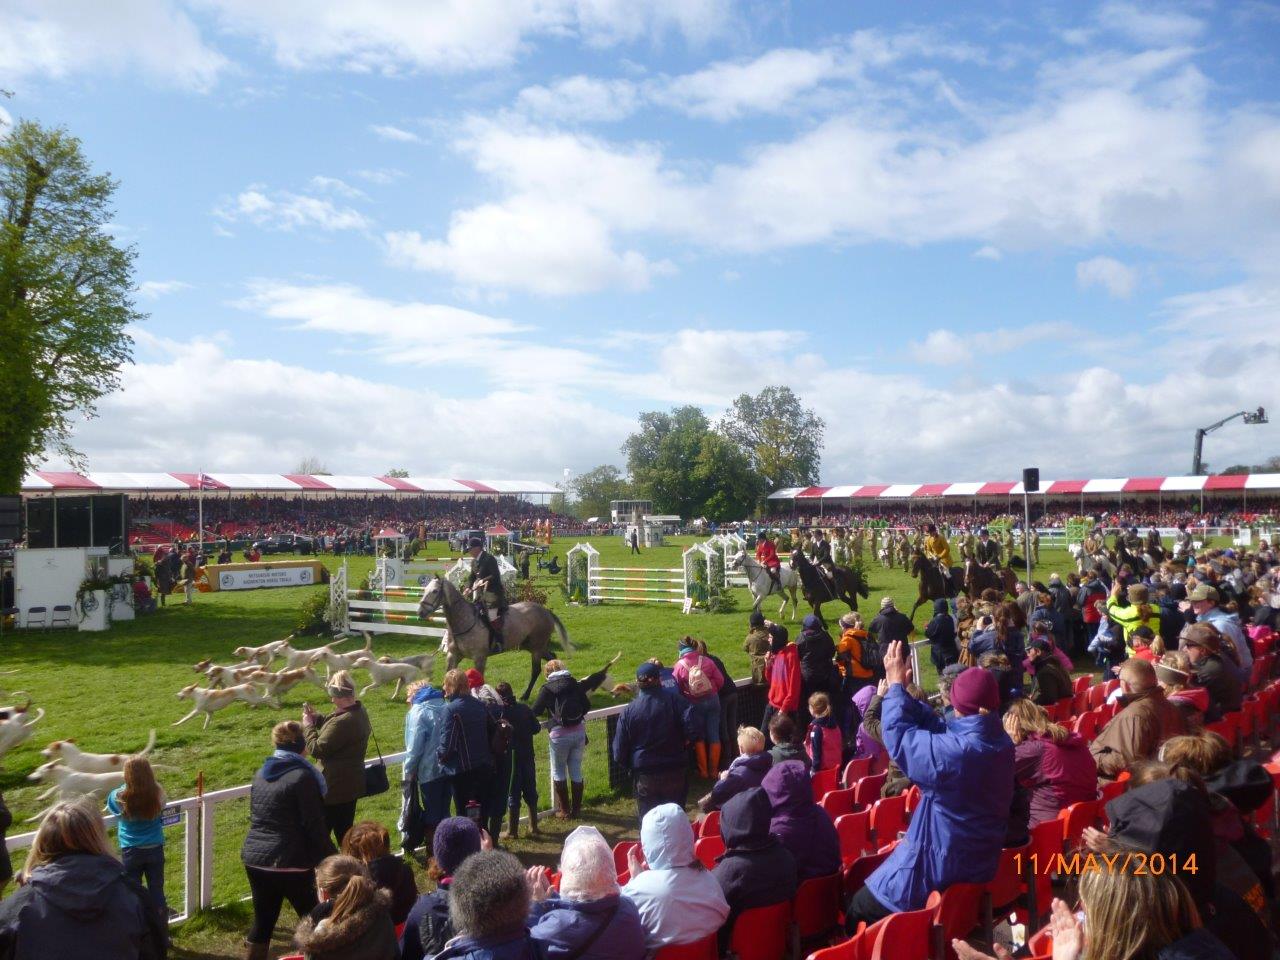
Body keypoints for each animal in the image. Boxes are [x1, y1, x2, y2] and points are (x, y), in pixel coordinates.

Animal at [417, 576, 573, 701]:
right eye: (425, 590)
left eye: (435, 591)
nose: (420, 612)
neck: (463, 620)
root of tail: (545, 611)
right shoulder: (453, 656)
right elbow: (448, 675)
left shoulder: (479, 658)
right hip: (532, 646)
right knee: (552, 658)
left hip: (536, 648)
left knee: (536, 670)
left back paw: (526, 695)